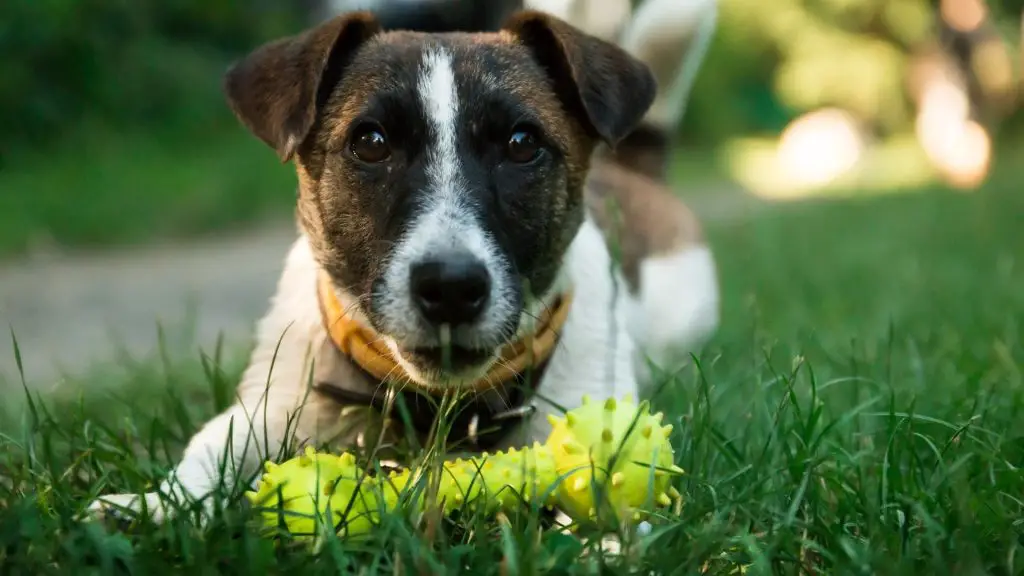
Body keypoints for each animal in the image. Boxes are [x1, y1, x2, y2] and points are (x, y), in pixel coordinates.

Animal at [86, 5, 720, 524]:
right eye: (371, 142)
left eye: (522, 143)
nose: (451, 287)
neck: (435, 404)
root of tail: (635, 165)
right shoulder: (268, 409)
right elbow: (209, 450)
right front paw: (152, 505)